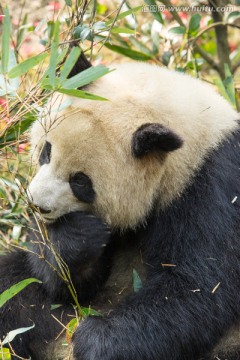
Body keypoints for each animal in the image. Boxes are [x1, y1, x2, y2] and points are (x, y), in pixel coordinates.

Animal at [0, 53, 240, 360]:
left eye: (80, 181)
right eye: (46, 151)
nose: (36, 205)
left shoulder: (215, 186)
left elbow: (197, 287)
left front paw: (95, 342)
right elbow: (63, 280)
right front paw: (79, 237)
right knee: (15, 291)